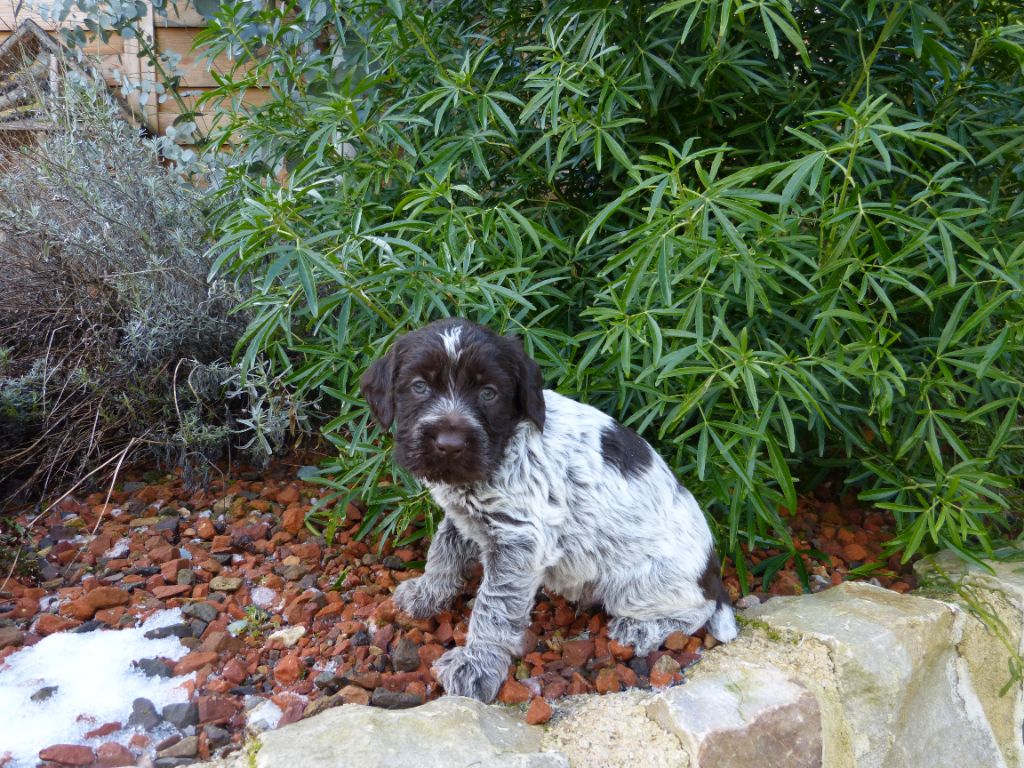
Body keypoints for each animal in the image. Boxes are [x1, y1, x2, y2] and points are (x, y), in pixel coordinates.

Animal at [360, 319, 737, 704]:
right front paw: (426, 594)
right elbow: (443, 551)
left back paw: (642, 629)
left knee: (699, 609)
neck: (505, 447)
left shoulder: (518, 540)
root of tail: (712, 571)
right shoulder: (465, 517)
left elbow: (493, 608)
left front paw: (477, 664)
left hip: (635, 586)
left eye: (489, 393)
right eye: (419, 387)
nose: (449, 445)